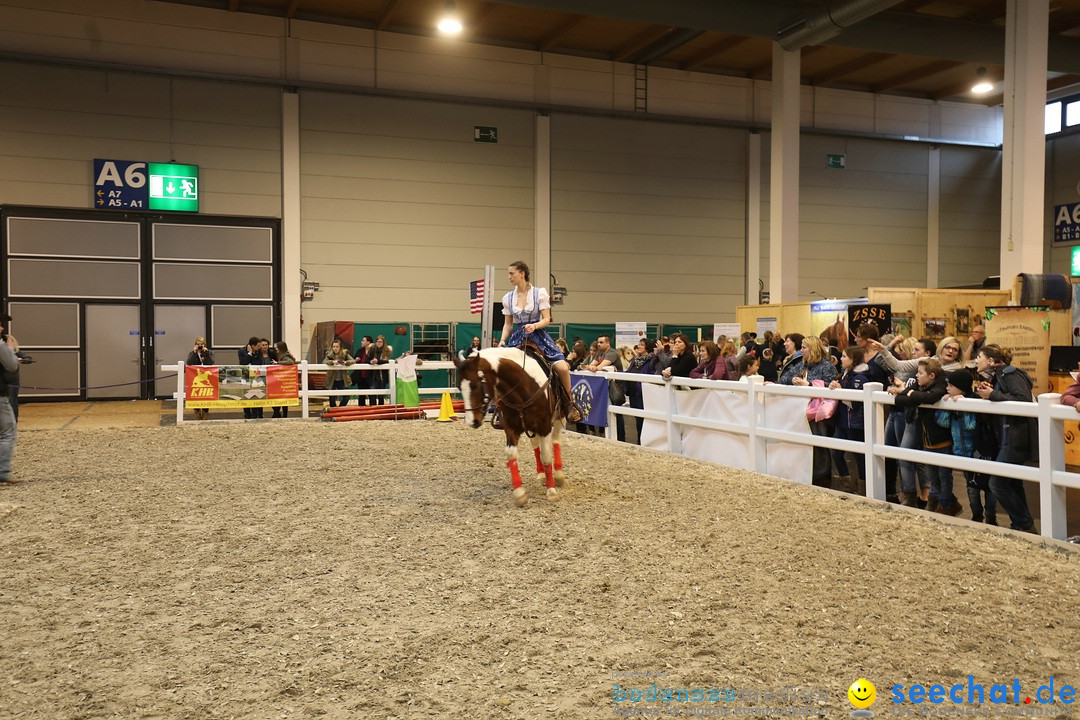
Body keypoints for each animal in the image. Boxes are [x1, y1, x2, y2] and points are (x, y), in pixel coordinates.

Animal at [455, 347, 565, 507]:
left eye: (474, 385)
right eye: (459, 387)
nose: (471, 421)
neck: (523, 387)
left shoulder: (545, 427)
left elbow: (546, 456)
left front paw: (551, 491)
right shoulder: (511, 427)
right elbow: (512, 455)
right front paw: (519, 494)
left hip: (558, 419)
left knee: (556, 441)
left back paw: (559, 474)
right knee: (535, 445)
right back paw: (540, 474)